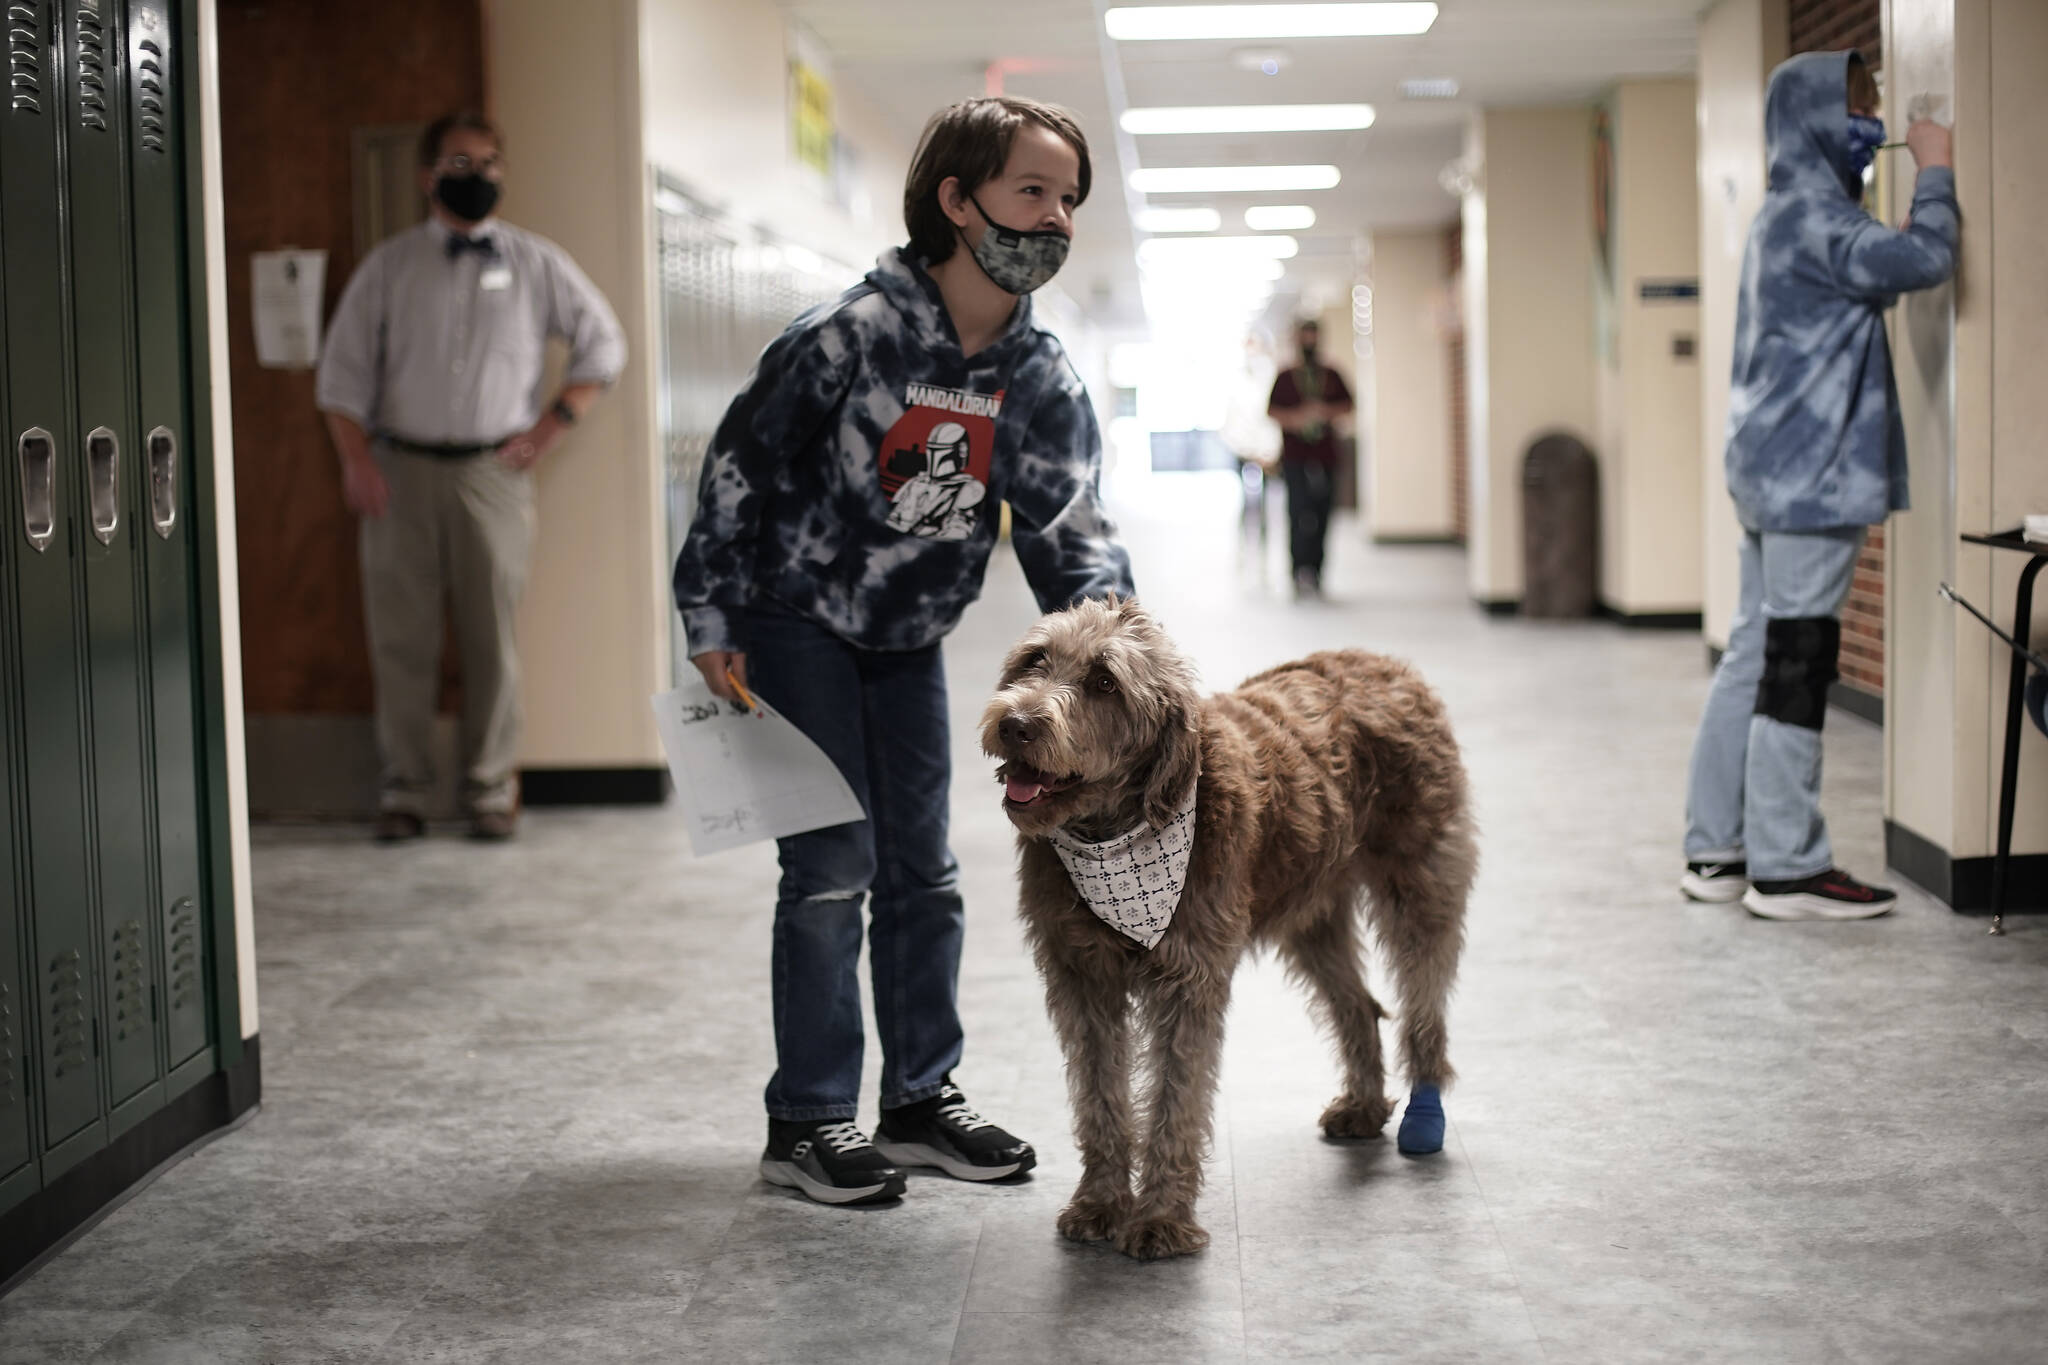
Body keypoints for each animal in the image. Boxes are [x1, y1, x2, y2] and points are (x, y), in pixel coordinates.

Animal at [978, 601, 1474, 1268]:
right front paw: (1101, 1203)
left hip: (1420, 889)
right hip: (1312, 913)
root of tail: (1385, 662)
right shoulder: (1082, 979)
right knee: (1359, 1006)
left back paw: (1423, 1116)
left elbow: (1175, 1098)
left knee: (1423, 1011)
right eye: (1034, 661)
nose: (1017, 724)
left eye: (1105, 682)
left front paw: (1161, 1219)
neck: (1122, 829)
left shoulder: (1189, 981)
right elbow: (1101, 1096)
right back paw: (1365, 1105)